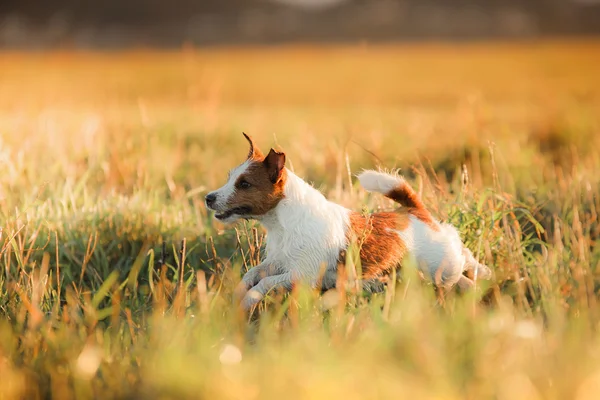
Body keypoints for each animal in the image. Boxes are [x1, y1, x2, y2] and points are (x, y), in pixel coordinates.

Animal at [204, 133, 490, 310]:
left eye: (244, 184)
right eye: (230, 178)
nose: (208, 198)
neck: (283, 224)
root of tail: (412, 211)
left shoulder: (302, 274)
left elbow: (264, 283)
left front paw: (249, 300)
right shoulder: (279, 262)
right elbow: (252, 274)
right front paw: (239, 294)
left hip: (443, 266)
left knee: (461, 255)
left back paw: (483, 270)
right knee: (462, 270)